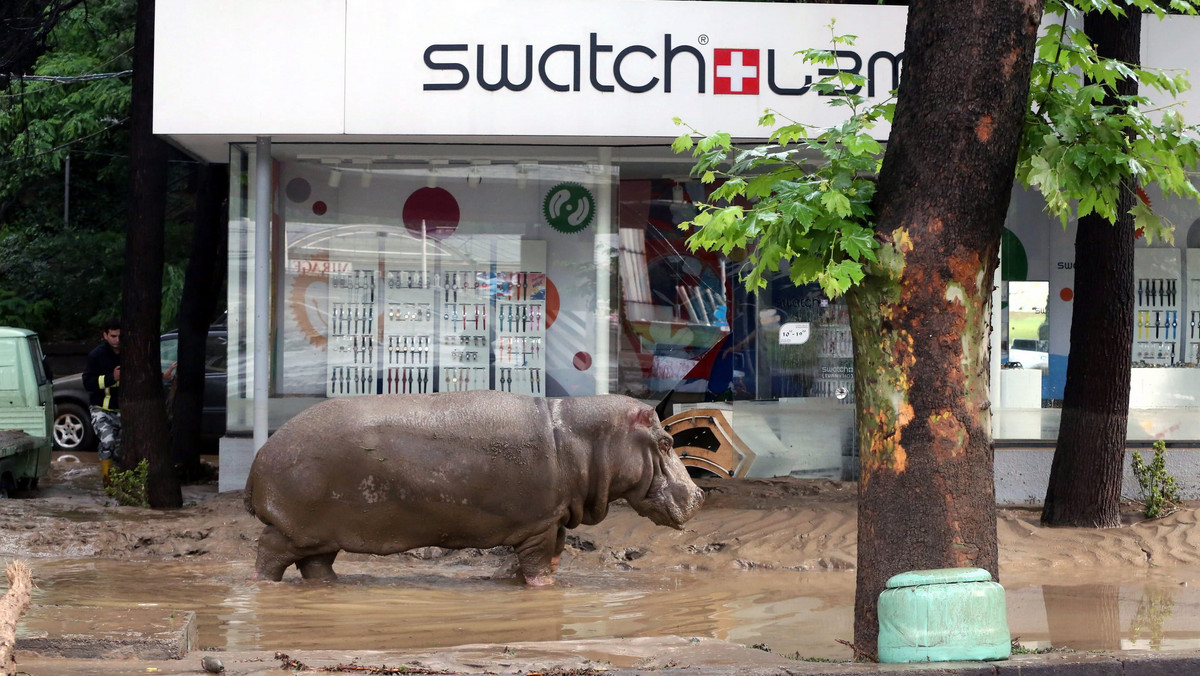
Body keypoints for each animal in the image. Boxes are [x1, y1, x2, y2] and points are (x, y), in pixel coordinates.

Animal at [242, 391, 700, 588]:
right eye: (667, 442)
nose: (698, 496)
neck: (581, 437)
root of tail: (262, 452)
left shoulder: (553, 521)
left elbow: (546, 560)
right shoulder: (540, 525)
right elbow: (538, 567)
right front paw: (541, 590)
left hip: (321, 534)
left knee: (316, 566)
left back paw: (333, 586)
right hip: (293, 529)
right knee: (268, 555)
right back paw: (264, 587)